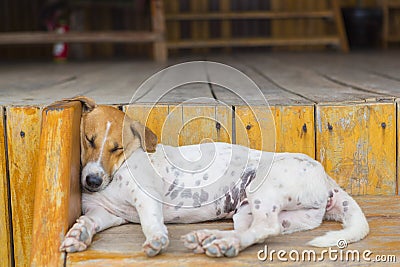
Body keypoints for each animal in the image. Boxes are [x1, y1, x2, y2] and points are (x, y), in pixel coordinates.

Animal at [58, 97, 368, 258]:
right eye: (88, 140)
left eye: (116, 148)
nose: (92, 182)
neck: (118, 171)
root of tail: (326, 179)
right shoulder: (106, 213)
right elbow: (89, 221)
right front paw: (79, 235)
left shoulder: (146, 199)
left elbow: (151, 223)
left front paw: (157, 239)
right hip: (259, 213)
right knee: (259, 230)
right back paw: (212, 238)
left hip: (263, 189)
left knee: (265, 227)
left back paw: (222, 243)